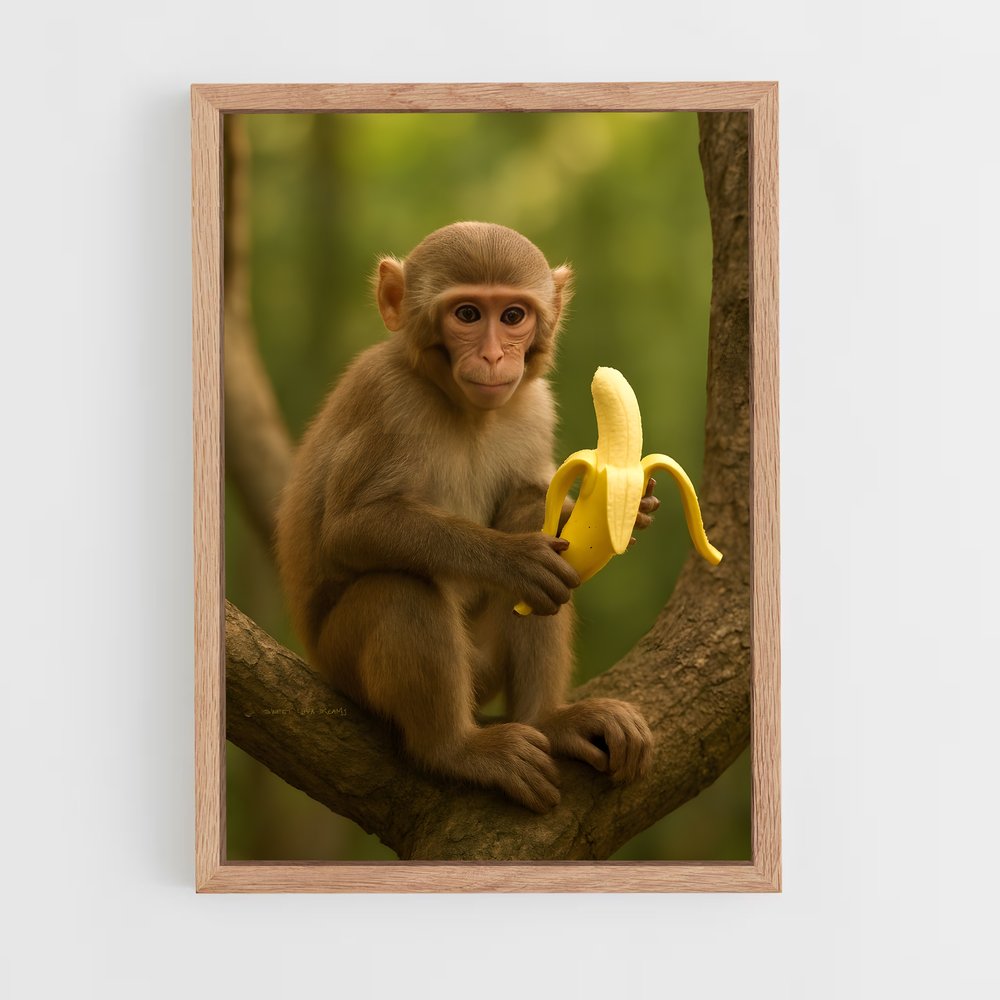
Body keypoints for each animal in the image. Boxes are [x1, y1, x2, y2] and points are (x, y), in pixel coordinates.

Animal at [275, 222, 655, 813]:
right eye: (469, 314)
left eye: (514, 315)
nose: (497, 358)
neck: (465, 410)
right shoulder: (388, 400)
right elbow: (349, 530)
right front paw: (513, 558)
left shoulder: (534, 404)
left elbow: (530, 502)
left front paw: (620, 510)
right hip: (343, 666)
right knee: (400, 589)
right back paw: (456, 749)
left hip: (484, 665)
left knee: (539, 558)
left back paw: (551, 719)